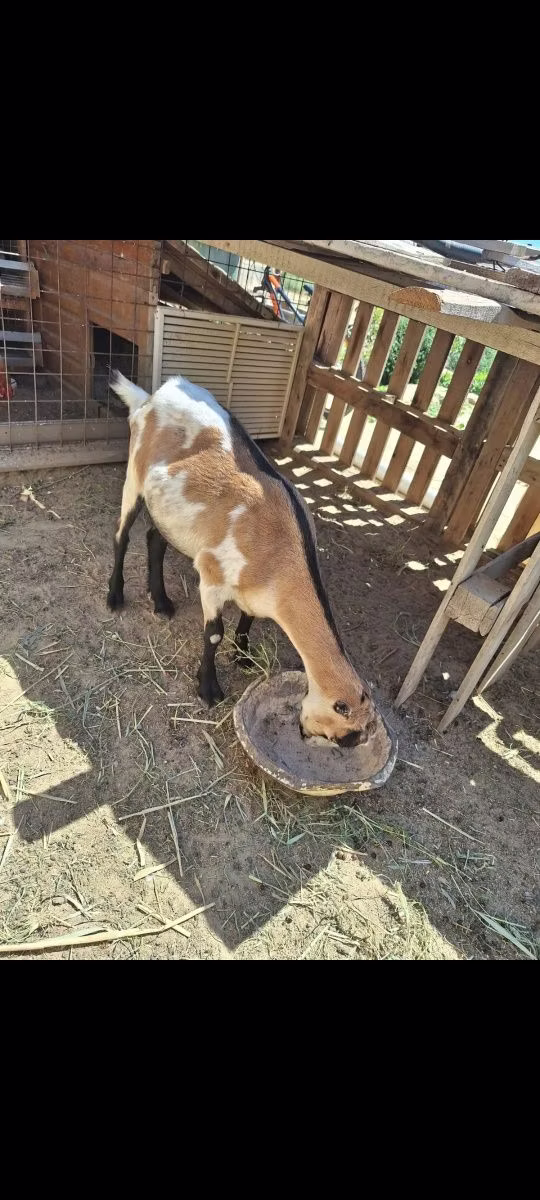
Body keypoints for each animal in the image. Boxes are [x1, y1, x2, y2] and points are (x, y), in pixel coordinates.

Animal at [107, 371, 378, 747]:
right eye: (344, 736)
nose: (303, 735)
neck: (281, 554)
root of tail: (154, 395)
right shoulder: (211, 575)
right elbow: (213, 634)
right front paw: (209, 690)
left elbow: (249, 617)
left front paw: (243, 656)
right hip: (134, 475)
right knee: (122, 535)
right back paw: (115, 596)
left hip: (173, 515)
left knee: (155, 539)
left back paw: (161, 602)